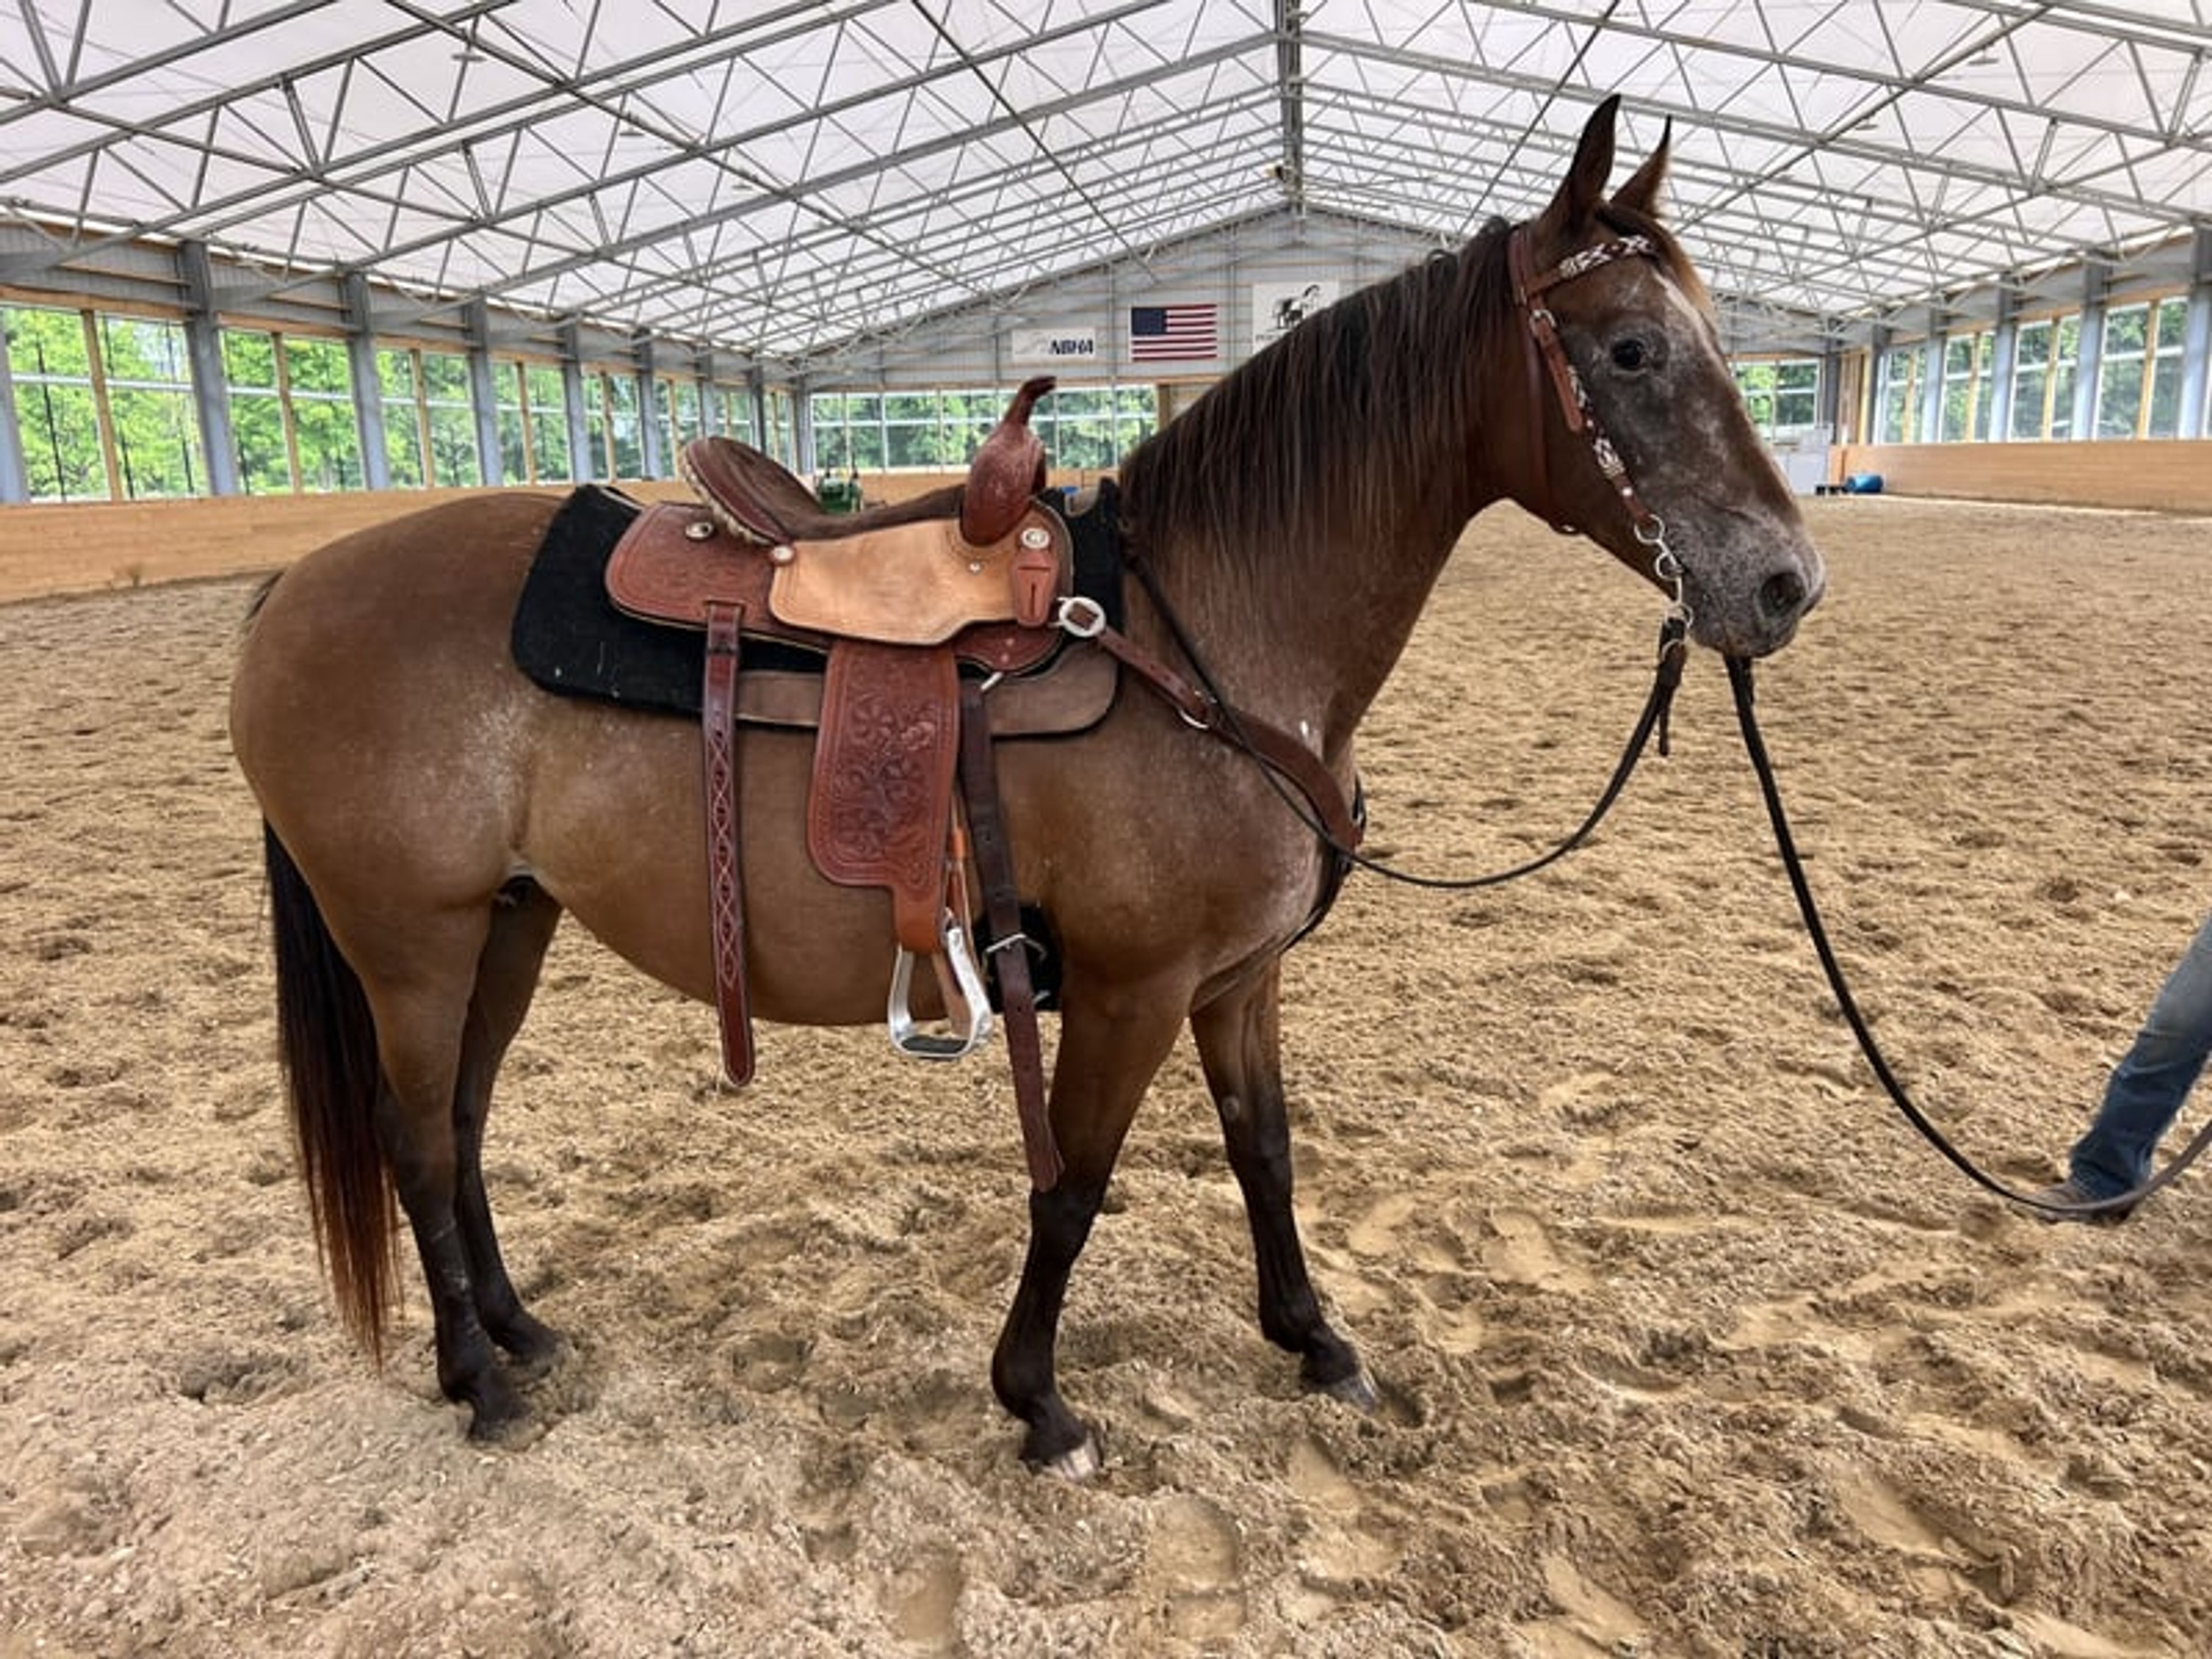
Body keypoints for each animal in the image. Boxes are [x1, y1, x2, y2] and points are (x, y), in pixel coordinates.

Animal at [229, 96, 1824, 1478]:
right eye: (1629, 349)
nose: (1783, 583)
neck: (1210, 637)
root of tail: (294, 585)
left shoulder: (1237, 981)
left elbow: (1264, 1153)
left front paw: (1312, 1339)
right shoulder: (1130, 989)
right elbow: (1074, 1182)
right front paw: (1038, 1401)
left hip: (510, 922)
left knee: (462, 1126)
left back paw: (519, 1332)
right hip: (412, 942)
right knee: (416, 1138)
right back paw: (478, 1382)